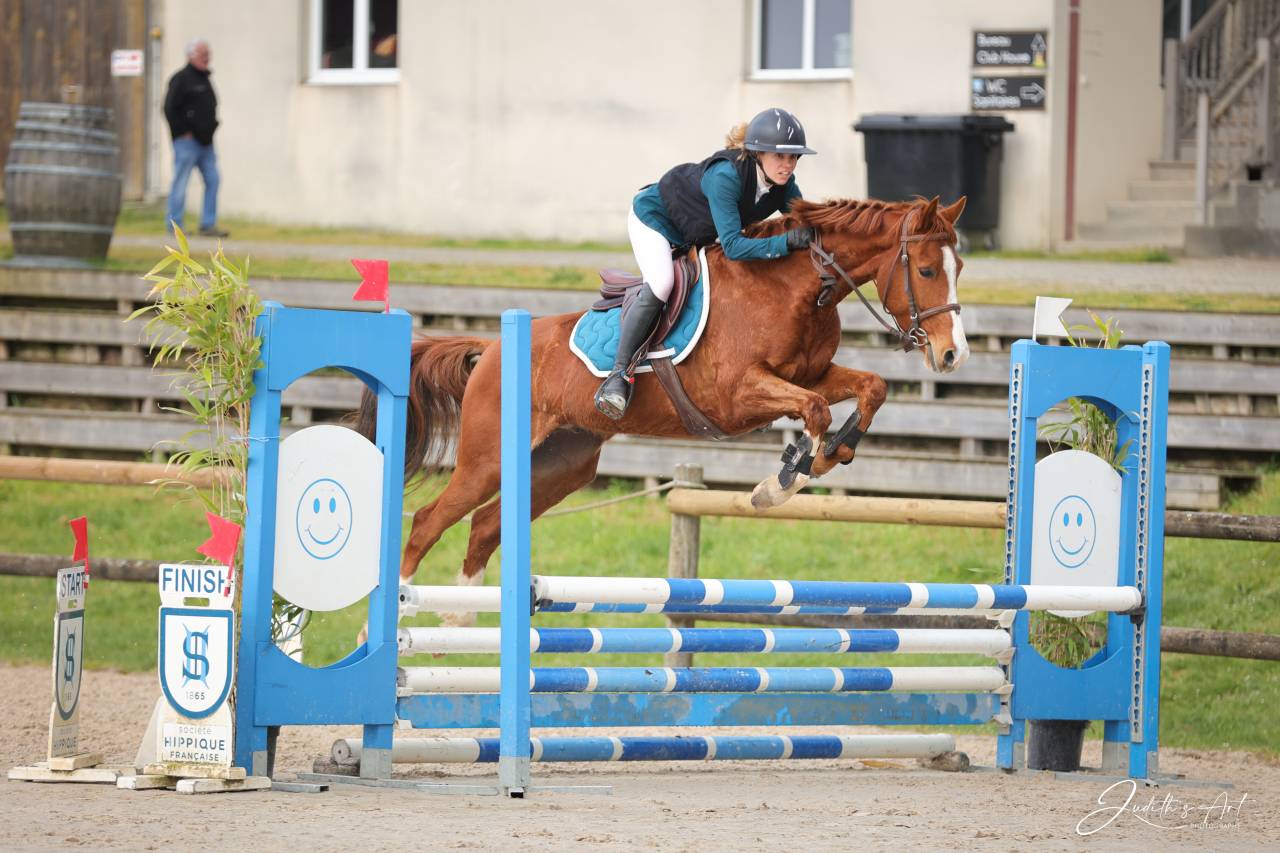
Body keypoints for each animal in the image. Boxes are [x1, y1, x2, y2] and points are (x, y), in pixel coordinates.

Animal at [356, 195, 969, 623]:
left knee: (486, 525)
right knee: (430, 521)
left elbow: (871, 388)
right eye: (927, 270)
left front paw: (828, 455)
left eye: (959, 266)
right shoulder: (738, 395)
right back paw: (388, 622)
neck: (796, 289)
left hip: (563, 464)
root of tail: (490, 349)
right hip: (488, 458)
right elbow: (815, 410)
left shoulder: (809, 374)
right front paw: (785, 480)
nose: (952, 353)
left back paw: (459, 618)